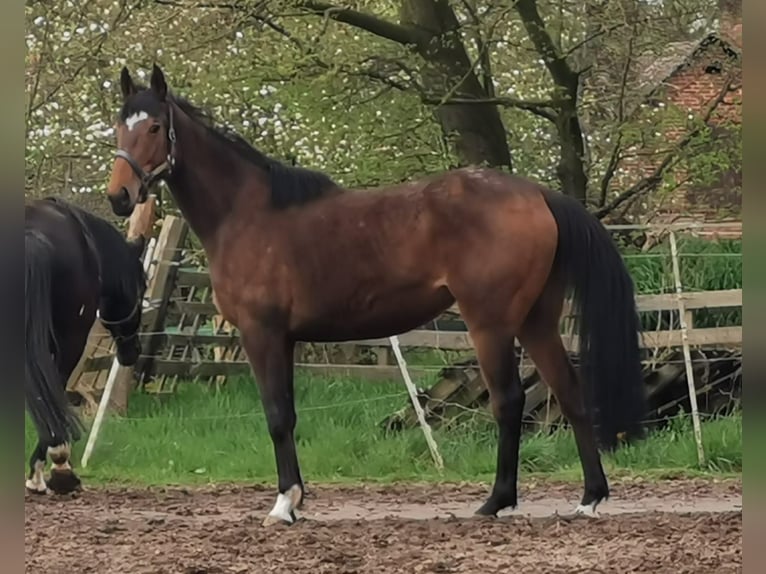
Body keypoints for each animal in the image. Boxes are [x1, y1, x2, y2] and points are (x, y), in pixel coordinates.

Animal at [105, 64, 647, 526]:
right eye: (118, 127)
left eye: (154, 127)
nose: (119, 196)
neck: (248, 214)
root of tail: (538, 195)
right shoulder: (284, 339)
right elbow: (289, 413)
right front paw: (296, 499)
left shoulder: (263, 334)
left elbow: (277, 416)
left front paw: (283, 505)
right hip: (536, 320)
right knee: (569, 392)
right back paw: (589, 498)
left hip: (490, 324)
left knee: (509, 401)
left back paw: (495, 501)